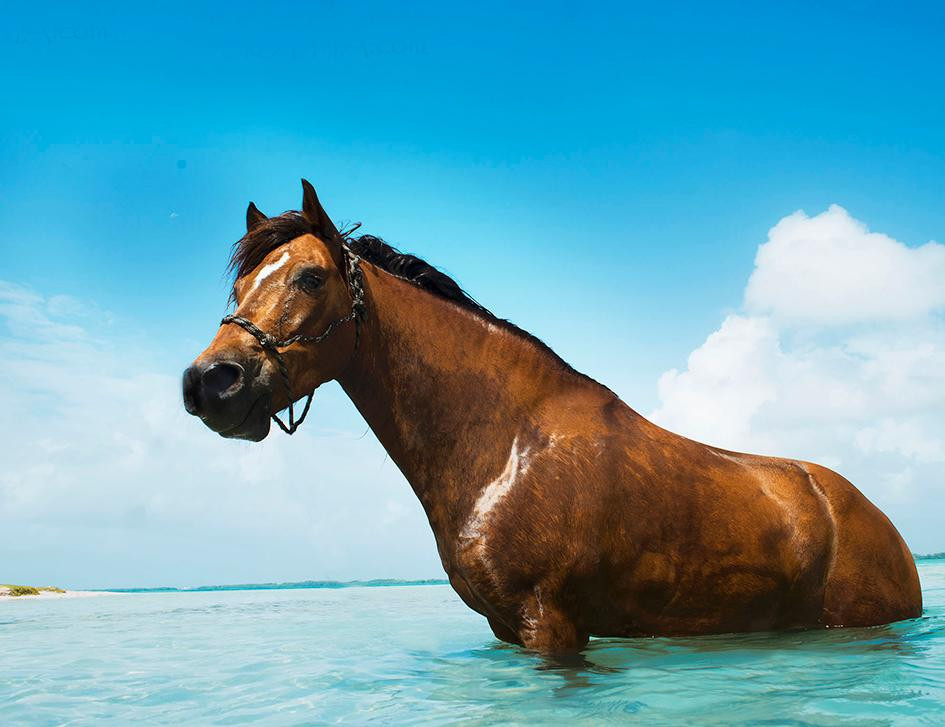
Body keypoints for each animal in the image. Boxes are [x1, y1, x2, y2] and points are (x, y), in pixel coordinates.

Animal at [182, 180, 922, 652]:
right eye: (238, 286)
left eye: (309, 278)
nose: (209, 382)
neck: (505, 443)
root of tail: (875, 517)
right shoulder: (507, 627)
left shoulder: (550, 622)